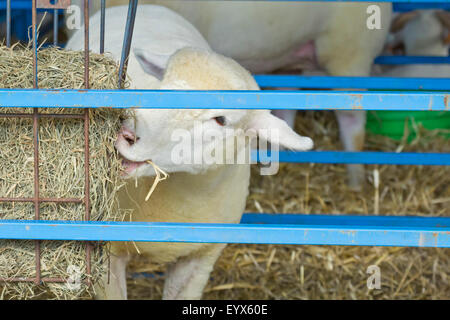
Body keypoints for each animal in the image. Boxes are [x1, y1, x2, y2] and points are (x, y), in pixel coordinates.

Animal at [66, 5, 312, 300]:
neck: (182, 200)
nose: (127, 133)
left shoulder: (201, 259)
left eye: (221, 120)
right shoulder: (109, 256)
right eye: (163, 83)